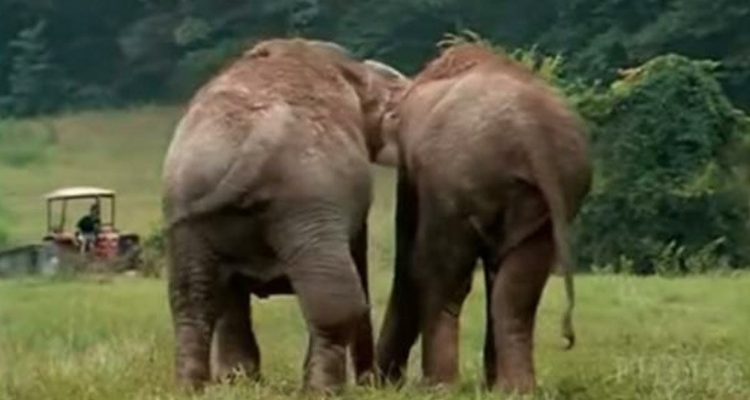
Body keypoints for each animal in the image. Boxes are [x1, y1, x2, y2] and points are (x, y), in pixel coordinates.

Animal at [161, 38, 408, 394]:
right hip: (309, 200)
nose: (371, 382)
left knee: (194, 300)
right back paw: (322, 391)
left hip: (189, 199)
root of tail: (254, 142)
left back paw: (200, 387)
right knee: (336, 303)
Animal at [376, 42, 592, 392]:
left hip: (457, 182)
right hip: (546, 199)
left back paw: (441, 386)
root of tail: (533, 132)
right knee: (518, 288)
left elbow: (410, 256)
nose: (379, 381)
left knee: (442, 273)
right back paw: (516, 389)